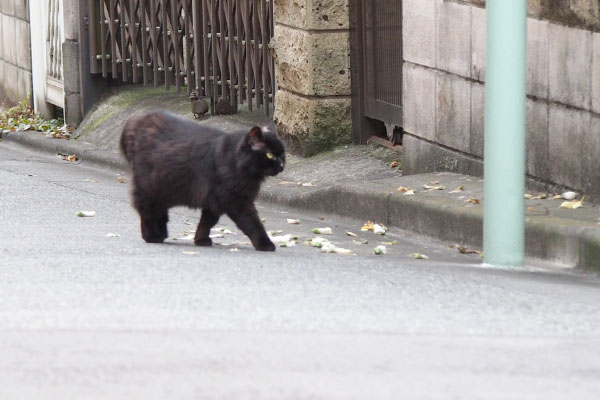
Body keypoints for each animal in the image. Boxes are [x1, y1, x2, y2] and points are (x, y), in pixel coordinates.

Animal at [120, 109, 286, 252]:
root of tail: (140, 119)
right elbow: (253, 224)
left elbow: (206, 223)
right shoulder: (236, 201)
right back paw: (151, 236)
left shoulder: (213, 202)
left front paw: (200, 240)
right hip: (148, 189)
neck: (235, 161)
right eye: (270, 155)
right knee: (146, 213)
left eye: (282, 154)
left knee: (159, 212)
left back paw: (162, 234)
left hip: (163, 188)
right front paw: (265, 244)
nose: (282, 165)